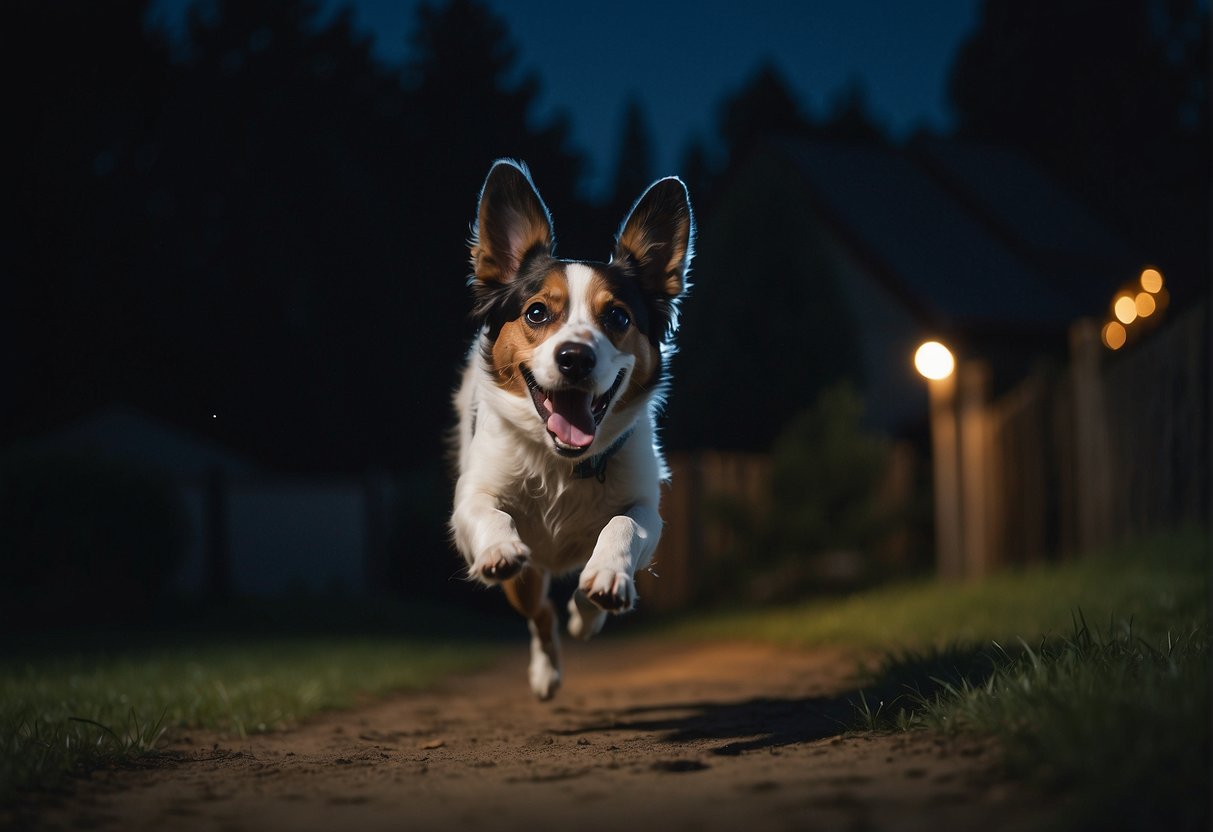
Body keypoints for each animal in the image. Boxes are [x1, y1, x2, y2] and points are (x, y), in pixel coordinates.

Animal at [451, 160, 693, 698]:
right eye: (537, 312)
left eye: (618, 316)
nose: (575, 357)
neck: (562, 461)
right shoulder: (470, 504)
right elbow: (487, 514)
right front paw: (499, 546)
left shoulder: (648, 512)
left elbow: (620, 527)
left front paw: (602, 584)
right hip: (524, 583)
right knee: (540, 613)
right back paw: (545, 673)